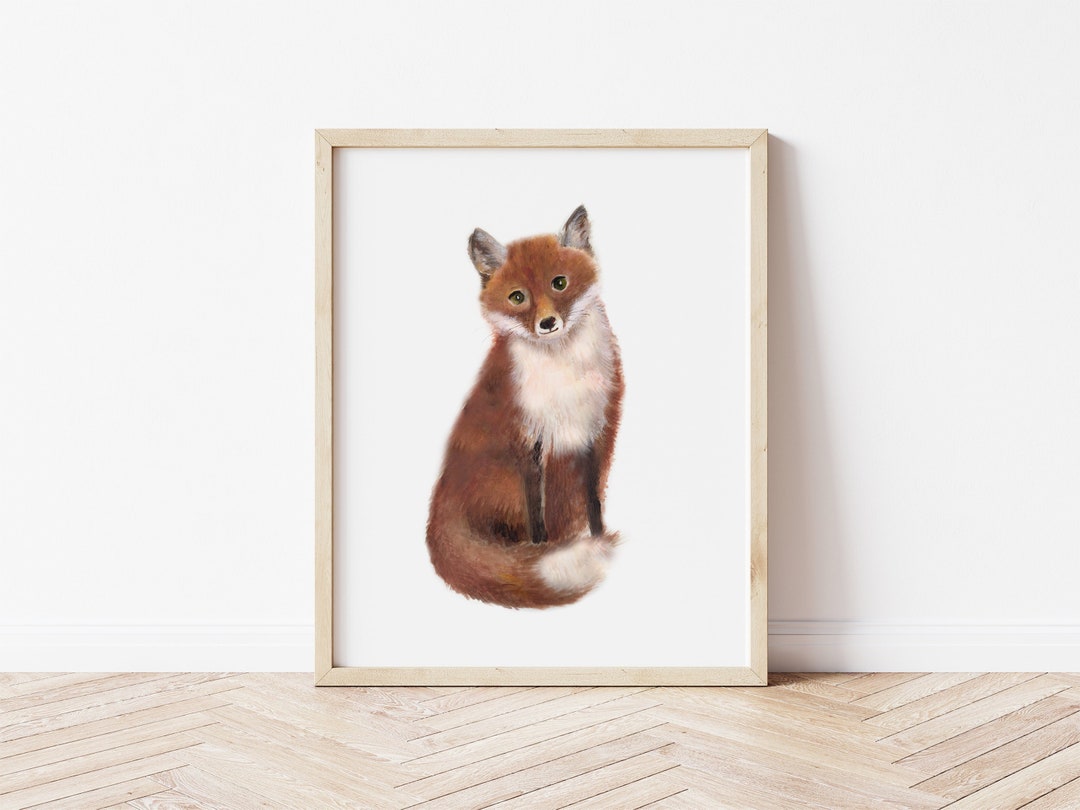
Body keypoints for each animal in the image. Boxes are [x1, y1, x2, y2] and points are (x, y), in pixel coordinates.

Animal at [426, 206, 624, 609]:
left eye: (560, 283)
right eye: (518, 297)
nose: (547, 323)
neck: (562, 375)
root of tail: (440, 507)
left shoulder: (593, 434)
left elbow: (595, 503)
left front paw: (598, 539)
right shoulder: (529, 441)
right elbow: (537, 516)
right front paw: (540, 552)